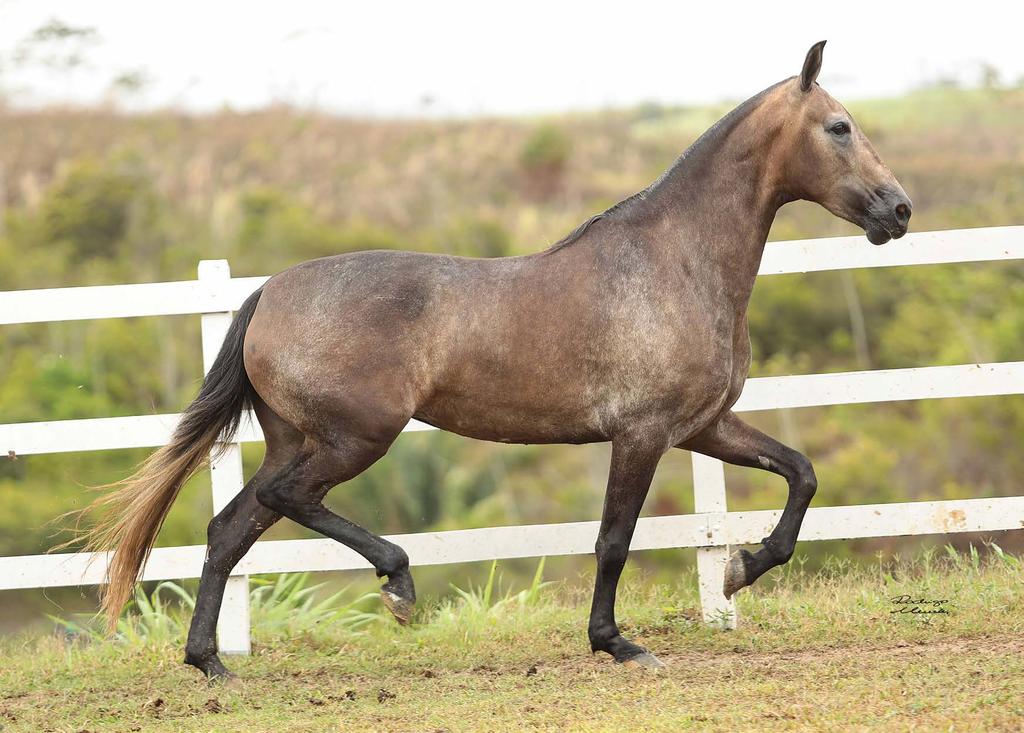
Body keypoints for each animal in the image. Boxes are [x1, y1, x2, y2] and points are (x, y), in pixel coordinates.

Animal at [81, 41, 913, 679]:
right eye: (839, 126)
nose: (898, 209)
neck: (675, 261)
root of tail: (266, 294)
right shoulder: (642, 434)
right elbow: (613, 540)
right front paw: (616, 643)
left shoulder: (704, 425)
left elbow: (802, 473)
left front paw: (740, 567)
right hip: (356, 437)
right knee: (285, 500)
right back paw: (397, 582)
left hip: (299, 437)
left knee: (230, 527)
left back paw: (210, 661)